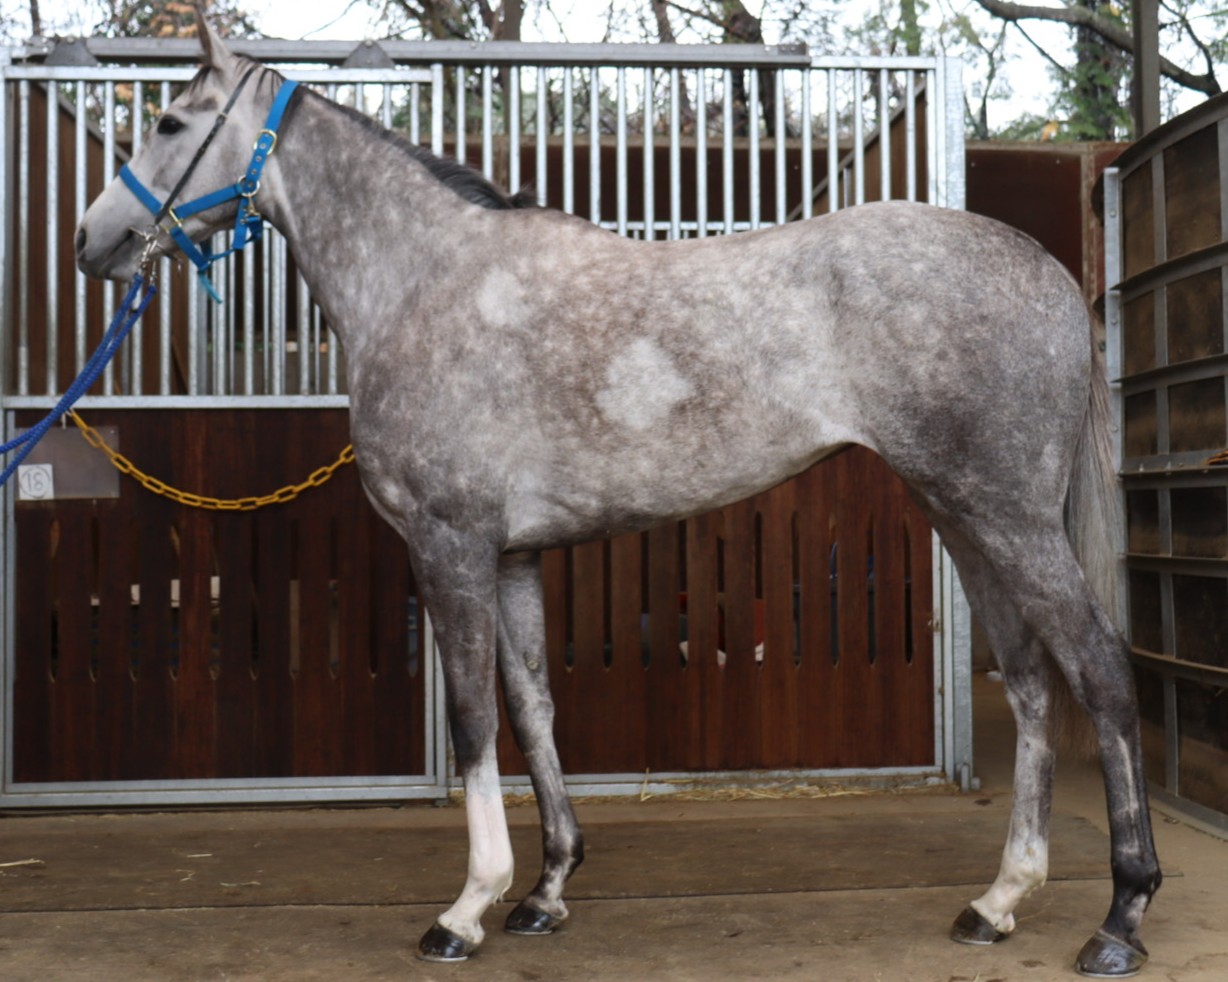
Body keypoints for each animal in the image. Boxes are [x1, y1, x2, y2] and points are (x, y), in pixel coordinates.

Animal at [75, 20, 1161, 977]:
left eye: (170, 120)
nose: (95, 239)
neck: (423, 282)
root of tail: (1047, 272)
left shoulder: (449, 546)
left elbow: (471, 715)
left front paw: (465, 909)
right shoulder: (512, 556)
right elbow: (533, 705)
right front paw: (544, 890)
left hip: (1009, 519)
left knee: (1103, 672)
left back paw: (1118, 917)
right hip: (963, 517)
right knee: (1029, 682)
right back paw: (999, 900)